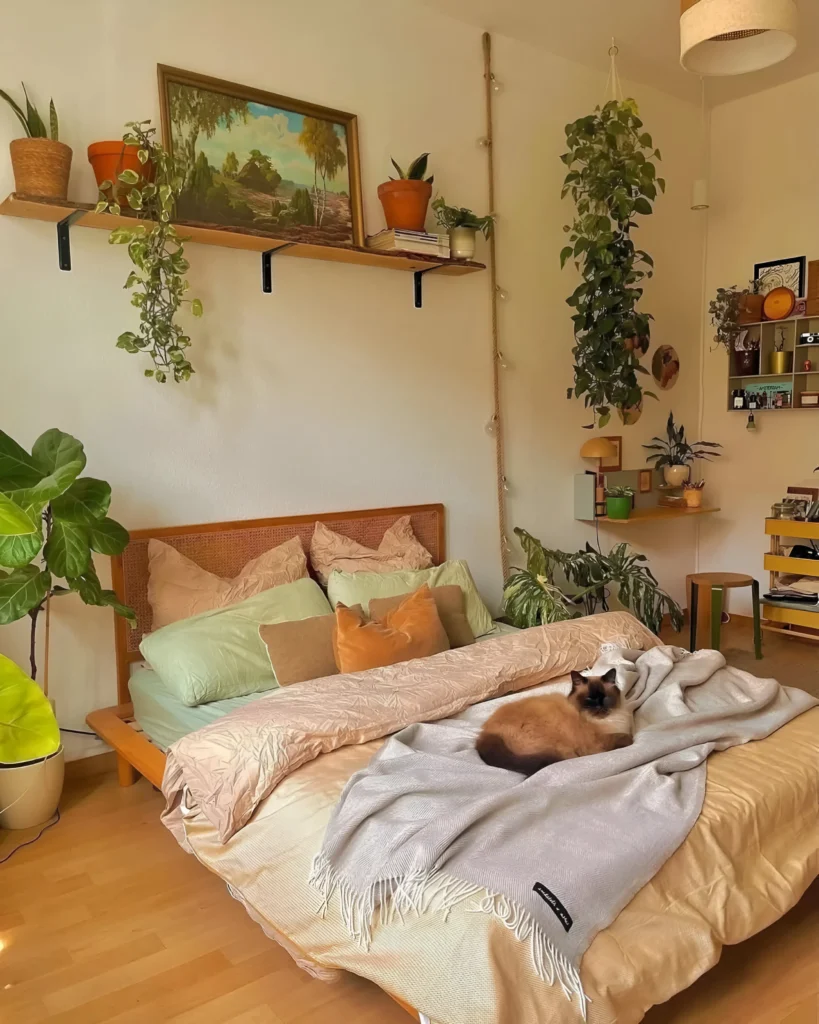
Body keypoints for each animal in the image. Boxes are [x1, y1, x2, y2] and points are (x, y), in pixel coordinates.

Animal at [472, 667, 634, 770]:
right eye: (589, 699)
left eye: (605, 698)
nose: (600, 708)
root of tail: (486, 734)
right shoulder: (602, 742)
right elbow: (627, 739)